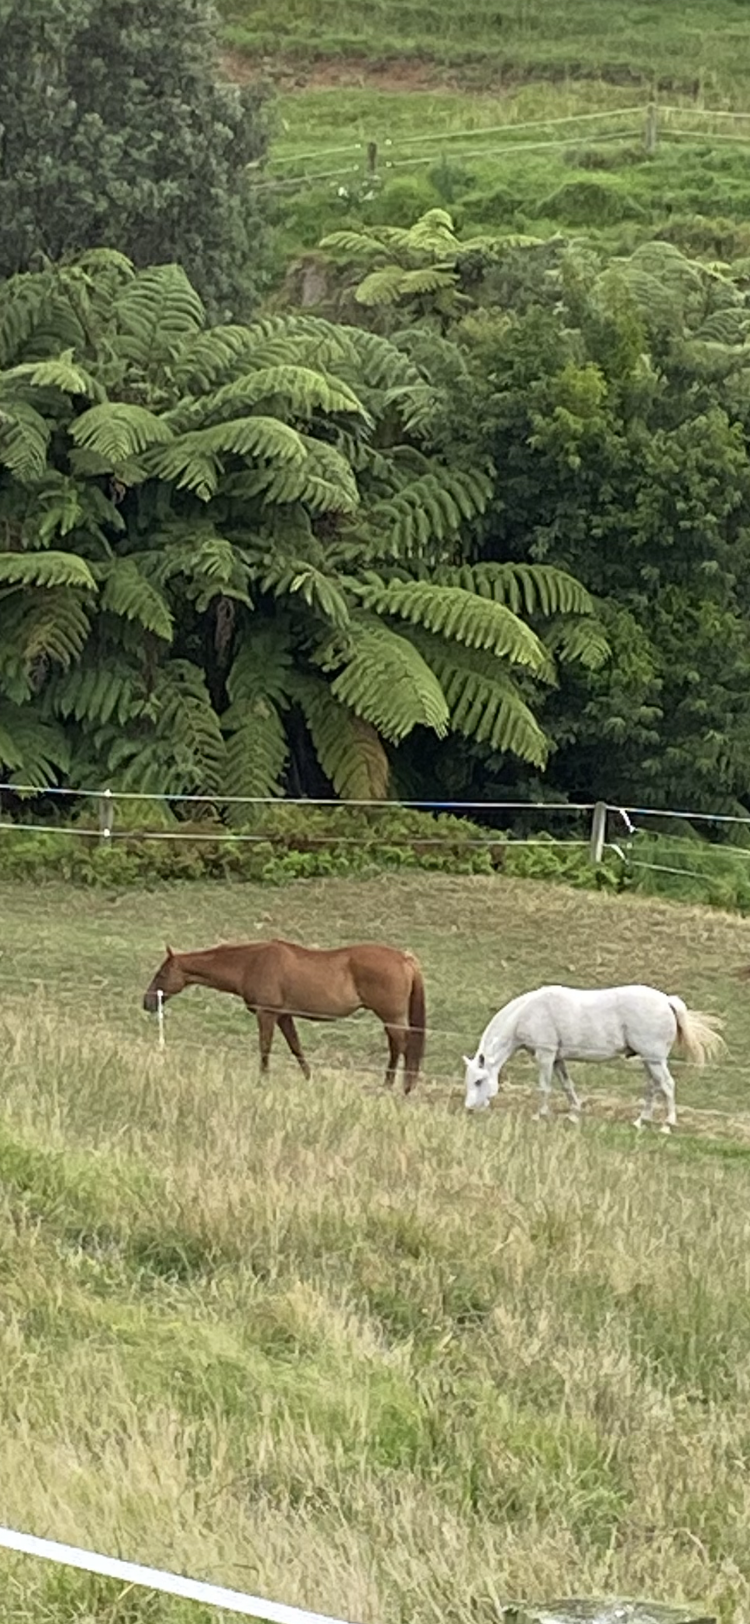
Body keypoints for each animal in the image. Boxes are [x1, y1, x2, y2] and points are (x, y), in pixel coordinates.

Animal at [143, 939, 426, 1093]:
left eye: (162, 974)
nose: (147, 1003)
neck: (251, 963)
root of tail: (404, 958)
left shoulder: (266, 1015)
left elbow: (265, 1047)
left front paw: (262, 1080)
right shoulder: (284, 1016)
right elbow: (296, 1047)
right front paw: (309, 1078)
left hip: (390, 1016)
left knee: (401, 1046)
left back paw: (398, 1086)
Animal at [463, 983, 724, 1132]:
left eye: (478, 1081)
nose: (469, 1109)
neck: (528, 1012)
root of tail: (667, 1000)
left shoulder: (546, 1055)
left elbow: (544, 1087)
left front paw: (539, 1115)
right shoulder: (557, 1059)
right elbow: (567, 1086)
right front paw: (573, 1115)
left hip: (654, 1060)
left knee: (667, 1085)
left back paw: (667, 1125)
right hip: (650, 1061)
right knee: (653, 1087)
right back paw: (641, 1121)